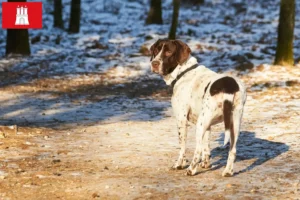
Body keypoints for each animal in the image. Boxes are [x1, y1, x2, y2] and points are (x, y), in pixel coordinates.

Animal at [149, 39, 246, 177]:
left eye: (168, 52)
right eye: (156, 50)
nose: (154, 63)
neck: (183, 72)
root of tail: (229, 86)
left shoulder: (181, 119)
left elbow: (183, 146)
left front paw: (179, 164)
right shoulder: (208, 124)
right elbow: (206, 146)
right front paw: (206, 164)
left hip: (201, 124)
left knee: (197, 149)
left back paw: (191, 170)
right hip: (233, 124)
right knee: (232, 150)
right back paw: (228, 171)